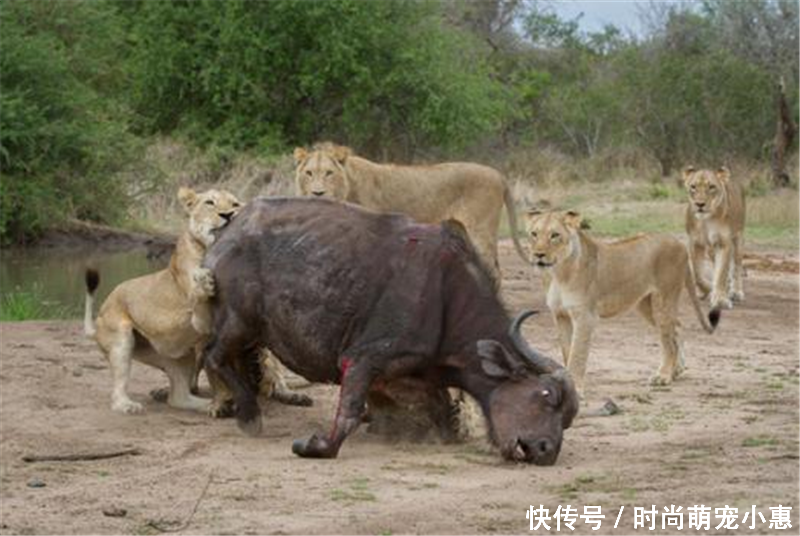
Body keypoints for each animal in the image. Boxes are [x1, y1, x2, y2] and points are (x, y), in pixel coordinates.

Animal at [200, 198, 576, 464]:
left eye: (566, 419)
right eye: (546, 396)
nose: (547, 450)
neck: (446, 294)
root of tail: (227, 234)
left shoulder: (414, 375)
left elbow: (443, 413)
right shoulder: (361, 360)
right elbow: (349, 414)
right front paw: (316, 445)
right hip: (240, 322)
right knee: (213, 356)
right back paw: (249, 414)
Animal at [294, 142, 532, 284]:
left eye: (329, 173)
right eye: (309, 173)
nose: (317, 193)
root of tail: (498, 175)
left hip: (480, 231)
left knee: (494, 271)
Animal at [524, 209, 720, 398]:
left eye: (554, 235)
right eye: (534, 234)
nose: (538, 254)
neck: (557, 273)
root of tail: (679, 243)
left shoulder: (586, 316)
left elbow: (577, 354)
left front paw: (576, 390)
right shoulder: (560, 315)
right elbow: (567, 351)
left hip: (664, 298)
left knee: (668, 341)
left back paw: (663, 376)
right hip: (645, 304)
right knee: (677, 326)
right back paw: (676, 370)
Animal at [680, 165, 744, 312]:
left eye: (711, 187)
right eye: (693, 187)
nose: (700, 204)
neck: (706, 220)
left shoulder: (724, 243)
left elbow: (721, 273)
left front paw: (720, 299)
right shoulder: (694, 243)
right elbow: (697, 274)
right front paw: (707, 290)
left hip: (737, 237)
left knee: (737, 265)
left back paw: (736, 291)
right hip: (710, 249)